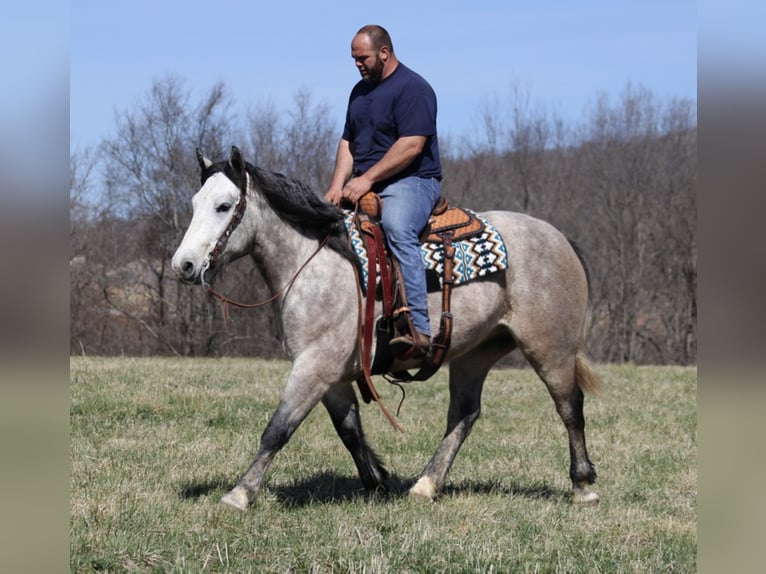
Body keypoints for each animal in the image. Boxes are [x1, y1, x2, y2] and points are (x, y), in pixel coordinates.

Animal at [171, 147, 604, 512]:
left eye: (224, 206)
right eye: (194, 203)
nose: (184, 265)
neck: (317, 263)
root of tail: (559, 238)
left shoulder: (313, 367)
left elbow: (278, 429)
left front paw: (240, 493)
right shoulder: (332, 377)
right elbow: (348, 431)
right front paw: (379, 483)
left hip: (550, 348)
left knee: (569, 406)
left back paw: (582, 485)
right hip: (475, 354)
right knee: (464, 414)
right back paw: (425, 485)